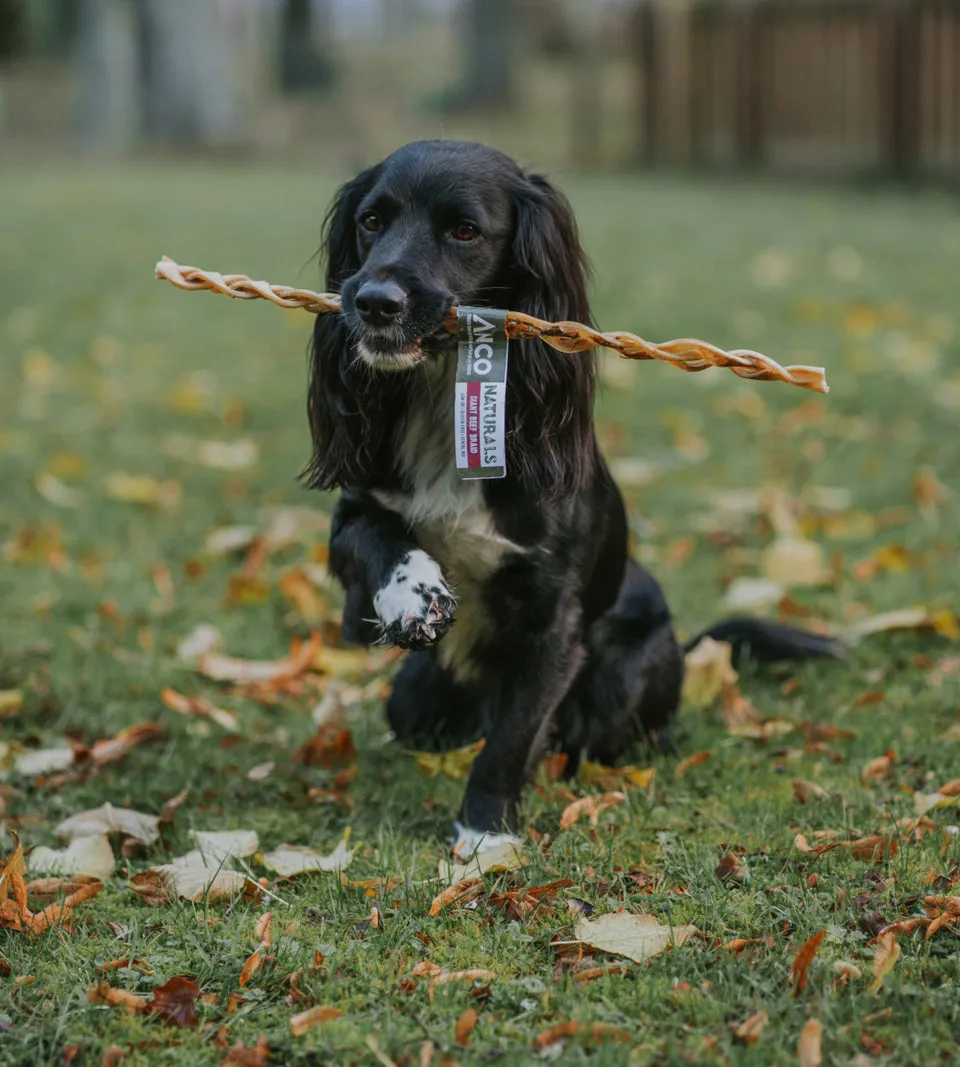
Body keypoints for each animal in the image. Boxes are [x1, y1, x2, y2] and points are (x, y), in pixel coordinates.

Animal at [302, 137, 840, 845]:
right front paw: (412, 593)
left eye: (465, 231)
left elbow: (513, 736)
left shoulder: (553, 620)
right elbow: (374, 538)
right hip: (413, 697)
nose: (373, 301)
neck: (447, 400)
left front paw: (486, 834)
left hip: (624, 675)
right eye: (370, 221)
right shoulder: (357, 512)